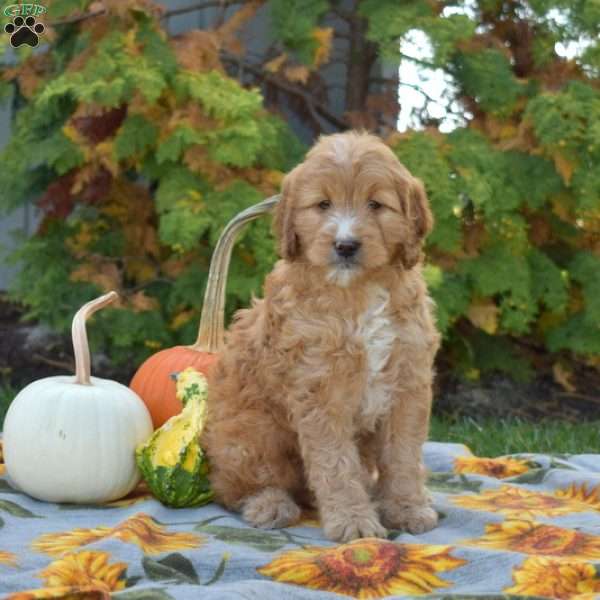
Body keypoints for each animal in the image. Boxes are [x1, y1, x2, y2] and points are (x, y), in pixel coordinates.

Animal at [203, 131, 440, 544]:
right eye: (323, 204)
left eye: (375, 204)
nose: (345, 245)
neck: (358, 292)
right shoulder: (319, 390)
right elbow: (336, 463)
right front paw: (354, 521)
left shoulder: (408, 383)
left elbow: (404, 455)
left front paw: (407, 507)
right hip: (251, 432)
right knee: (234, 485)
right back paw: (269, 504)